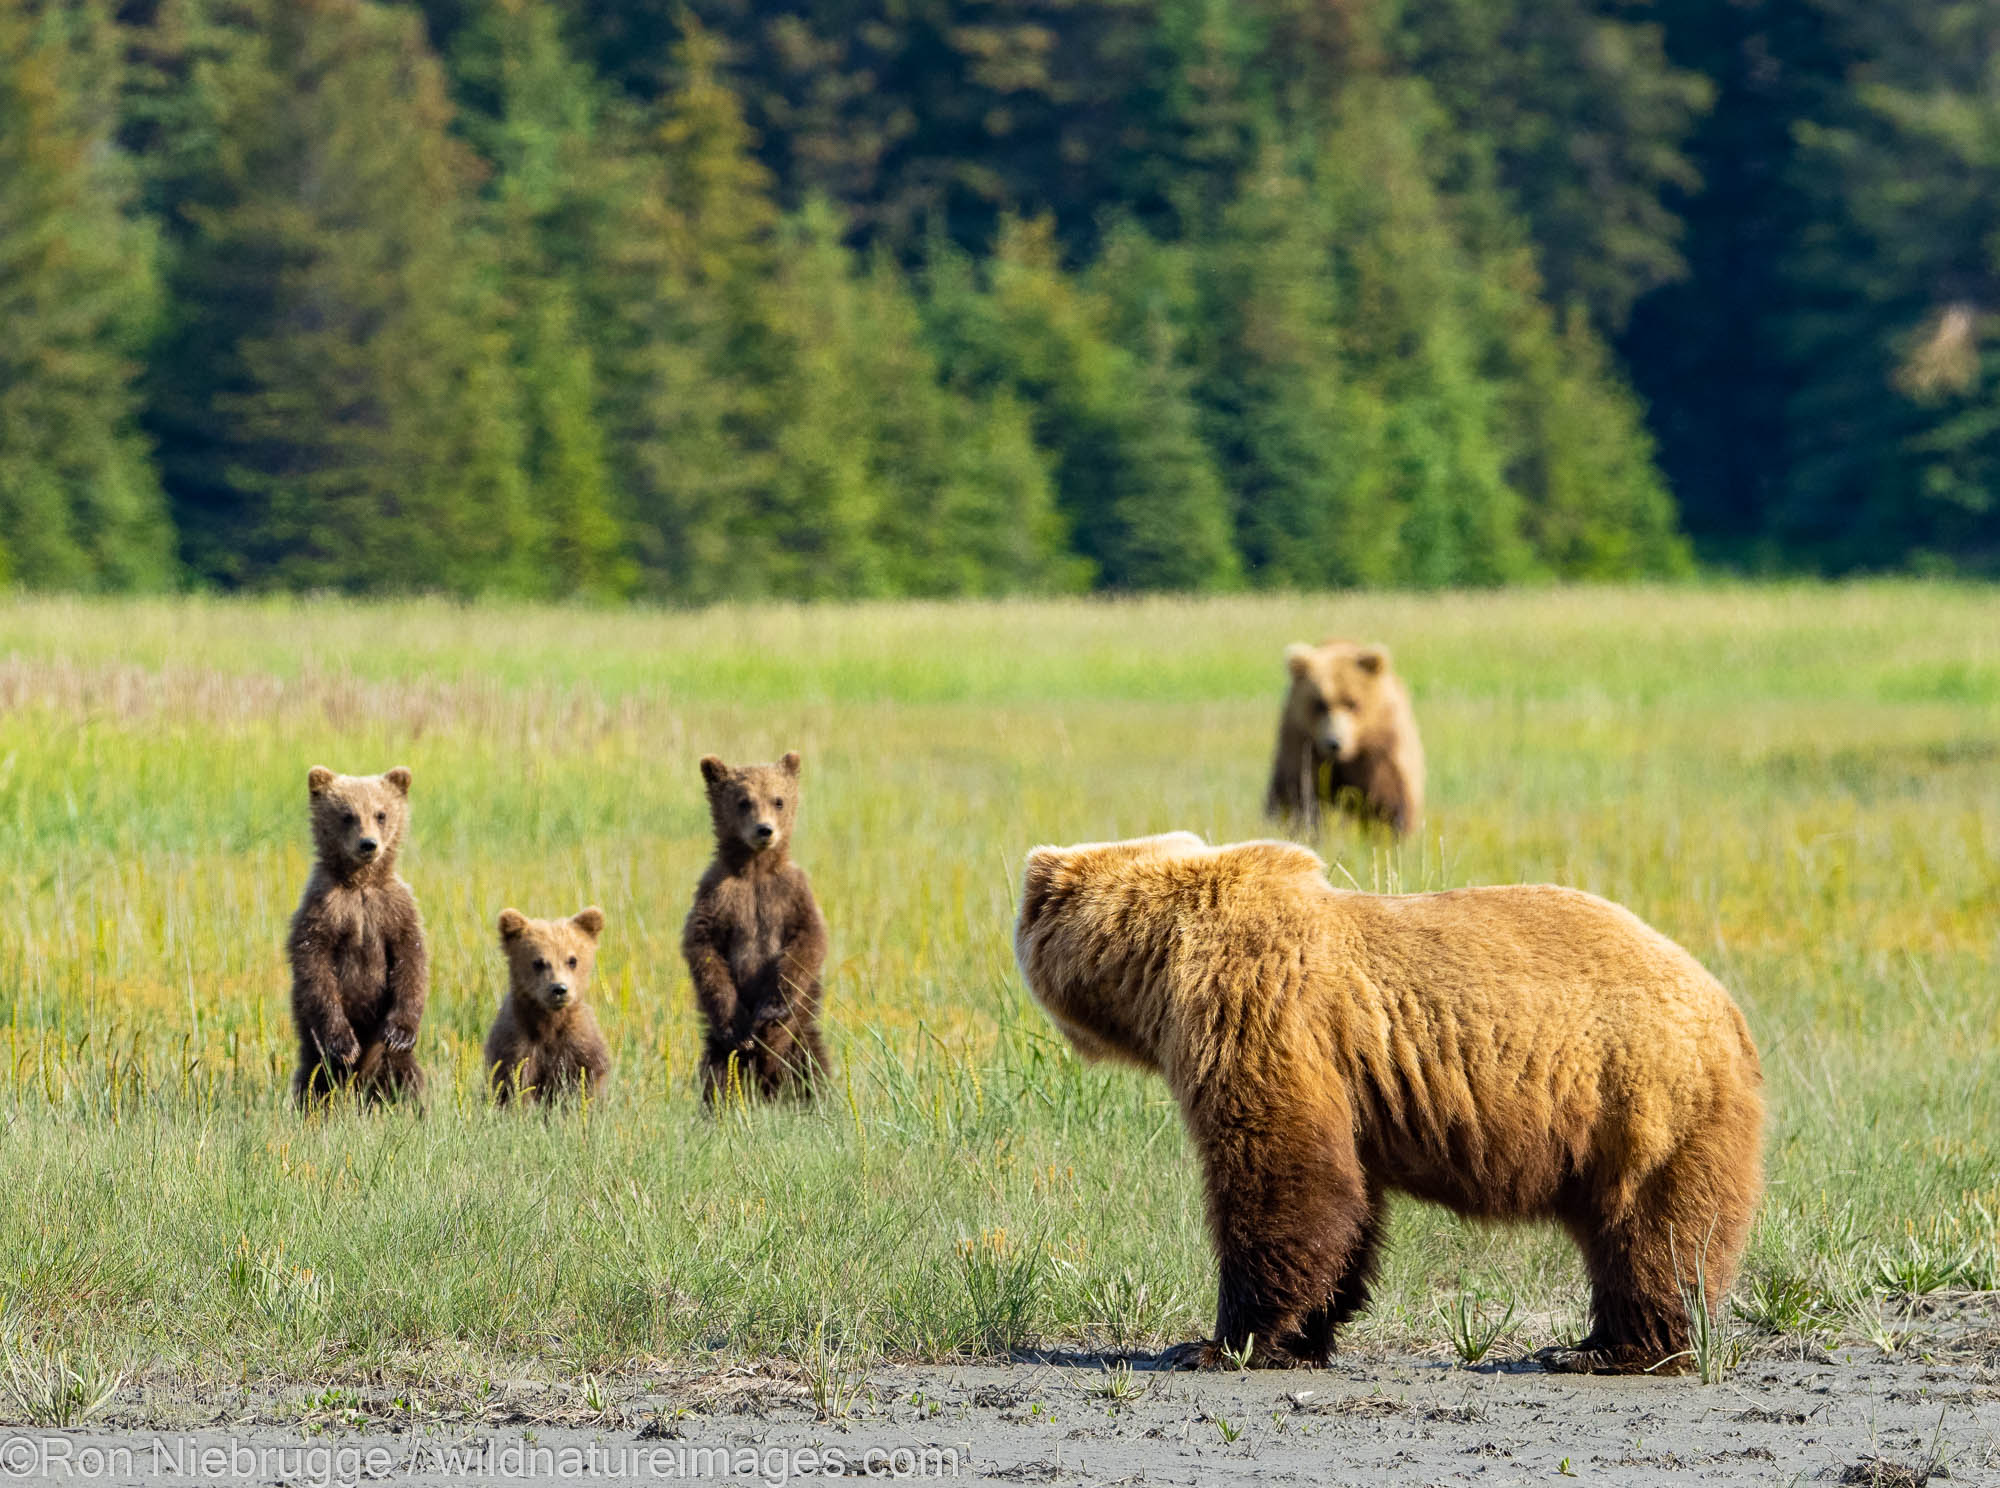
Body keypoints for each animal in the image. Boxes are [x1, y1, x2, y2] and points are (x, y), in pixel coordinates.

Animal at [290, 768, 426, 1104]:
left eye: (381, 813)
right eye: (347, 815)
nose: (368, 844)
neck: (360, 883)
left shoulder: (393, 909)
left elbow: (411, 960)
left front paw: (400, 1033)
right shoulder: (324, 909)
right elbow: (315, 966)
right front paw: (344, 1044)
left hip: (388, 1059)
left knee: (406, 1074)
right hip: (310, 1041)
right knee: (314, 1076)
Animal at [484, 908, 608, 1104]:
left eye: (572, 960)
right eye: (538, 962)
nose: (559, 988)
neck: (550, 1022)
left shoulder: (579, 1043)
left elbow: (588, 1075)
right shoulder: (515, 1044)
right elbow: (515, 1084)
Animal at [676, 756, 824, 1104]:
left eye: (778, 800)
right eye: (743, 801)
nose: (764, 830)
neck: (756, 868)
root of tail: (767, 1081)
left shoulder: (791, 894)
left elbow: (806, 944)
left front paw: (771, 1008)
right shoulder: (717, 895)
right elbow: (705, 950)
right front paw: (739, 1027)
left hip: (801, 1038)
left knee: (812, 1068)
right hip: (720, 1053)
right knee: (718, 1079)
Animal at [1016, 832, 1768, 1376]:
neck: (1162, 961)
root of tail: (1731, 1011)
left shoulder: (1256, 1013)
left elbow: (1278, 1176)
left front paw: (1216, 1343)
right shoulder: (1347, 1092)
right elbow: (1346, 1201)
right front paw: (1304, 1336)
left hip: (1643, 1102)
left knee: (1651, 1234)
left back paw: (1608, 1349)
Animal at [1264, 632, 1424, 832]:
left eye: (1352, 703)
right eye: (1320, 704)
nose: (1334, 743)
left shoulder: (1380, 748)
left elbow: (1387, 798)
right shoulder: (1300, 743)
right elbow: (1297, 794)